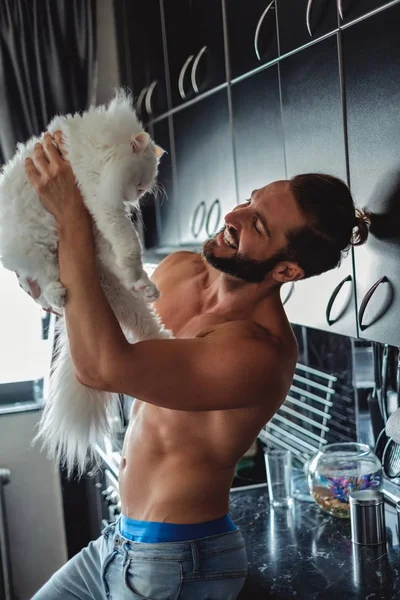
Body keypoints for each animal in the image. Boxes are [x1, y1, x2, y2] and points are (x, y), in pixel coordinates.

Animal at [0, 90, 171, 478]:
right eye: (141, 183)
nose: (135, 198)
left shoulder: (100, 216)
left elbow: (126, 250)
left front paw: (140, 277)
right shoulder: (103, 202)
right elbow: (129, 245)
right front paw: (135, 269)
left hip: (115, 292)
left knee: (146, 324)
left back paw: (162, 327)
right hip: (40, 250)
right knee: (46, 280)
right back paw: (61, 294)